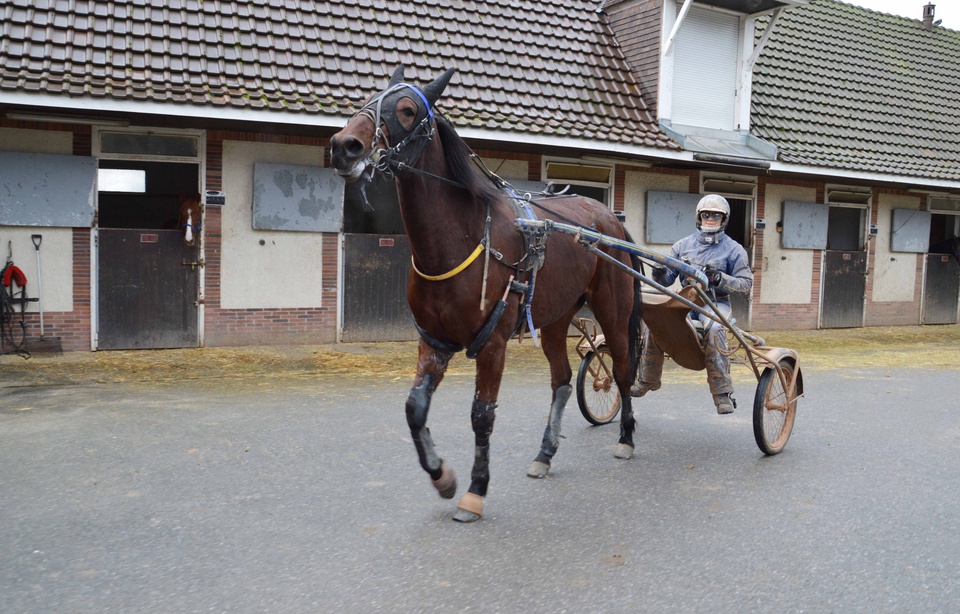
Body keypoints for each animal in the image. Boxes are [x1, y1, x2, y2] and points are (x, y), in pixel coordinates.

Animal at [330, 67, 644, 524]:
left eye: (406, 110)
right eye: (367, 100)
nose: (344, 146)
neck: (461, 237)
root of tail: (611, 220)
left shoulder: (493, 343)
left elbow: (482, 415)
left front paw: (475, 492)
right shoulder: (433, 341)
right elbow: (414, 409)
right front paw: (442, 476)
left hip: (613, 312)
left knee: (621, 370)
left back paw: (625, 439)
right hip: (554, 319)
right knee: (563, 381)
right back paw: (544, 454)